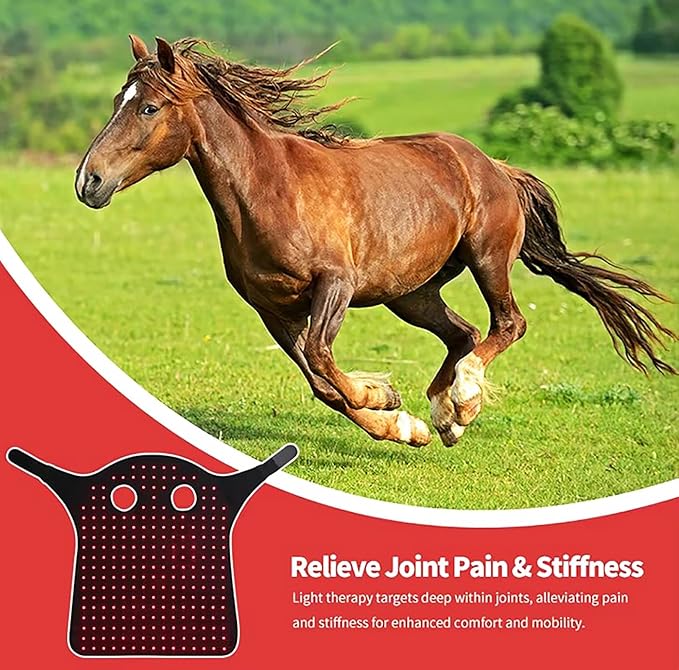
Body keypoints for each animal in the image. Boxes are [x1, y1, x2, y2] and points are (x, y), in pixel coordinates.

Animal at [75, 36, 677, 447]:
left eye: (148, 107)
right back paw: (445, 418)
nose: (89, 181)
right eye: (118, 98)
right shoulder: (272, 308)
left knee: (507, 324)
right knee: (462, 334)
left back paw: (464, 401)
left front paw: (385, 400)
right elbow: (321, 383)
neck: (269, 190)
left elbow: (323, 361)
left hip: (486, 259)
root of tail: (495, 166)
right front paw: (402, 420)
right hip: (410, 293)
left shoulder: (334, 285)